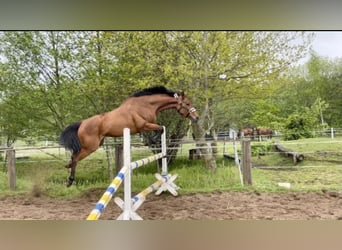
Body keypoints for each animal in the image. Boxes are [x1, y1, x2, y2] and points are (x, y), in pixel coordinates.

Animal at [58, 85, 198, 186]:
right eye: (188, 104)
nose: (196, 118)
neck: (146, 105)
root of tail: (82, 123)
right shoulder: (144, 125)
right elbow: (159, 130)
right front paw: (152, 141)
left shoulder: (145, 126)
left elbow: (159, 130)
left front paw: (150, 141)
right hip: (90, 147)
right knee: (75, 158)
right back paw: (70, 179)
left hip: (95, 144)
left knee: (73, 156)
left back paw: (68, 171)